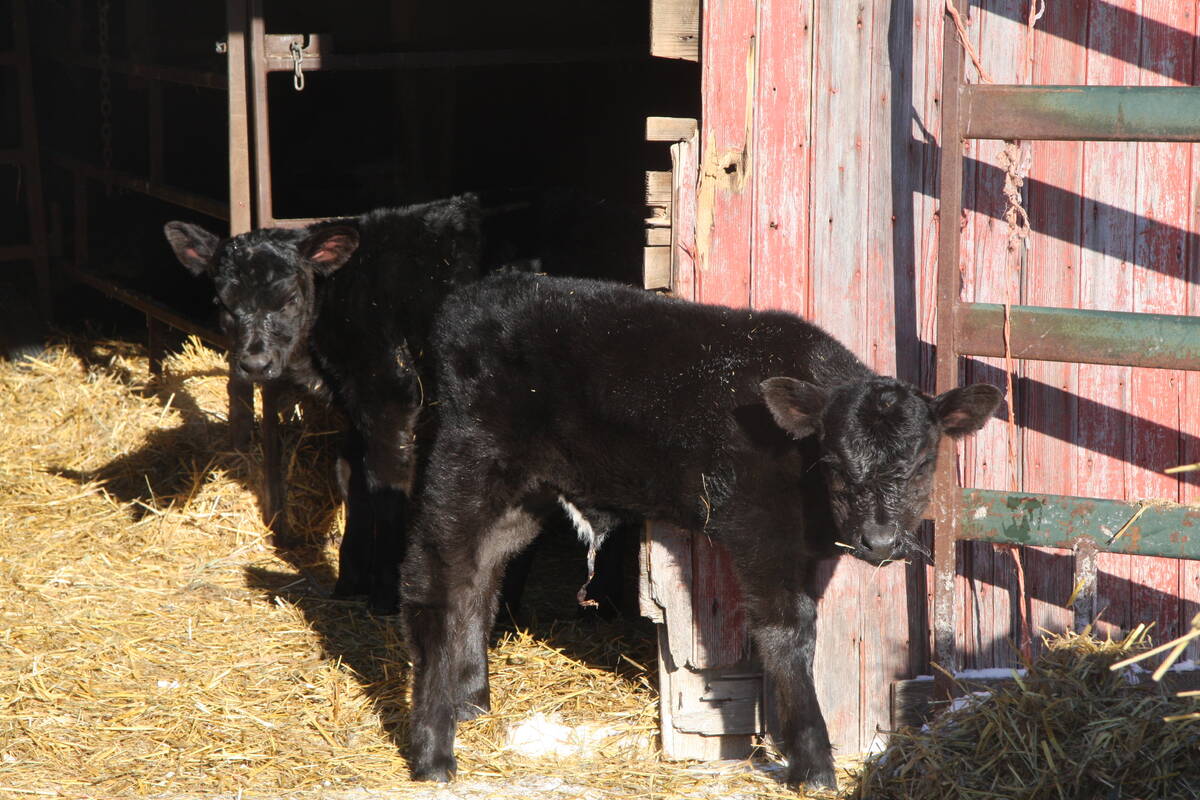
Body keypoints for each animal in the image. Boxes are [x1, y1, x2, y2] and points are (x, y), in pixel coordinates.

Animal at [163, 195, 483, 615]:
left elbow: (386, 488)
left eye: (288, 300)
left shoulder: (389, 396)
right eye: (222, 302)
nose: (255, 364)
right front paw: (349, 582)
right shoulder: (353, 406)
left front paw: (384, 595)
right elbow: (352, 482)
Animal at [400, 271, 1002, 790]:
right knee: (435, 584)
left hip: (524, 494)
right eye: (832, 462)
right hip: (467, 460)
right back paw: (433, 750)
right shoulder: (760, 531)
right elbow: (789, 631)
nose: (878, 541)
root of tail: (481, 291)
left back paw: (471, 698)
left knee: (480, 577)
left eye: (922, 464)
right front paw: (811, 761)